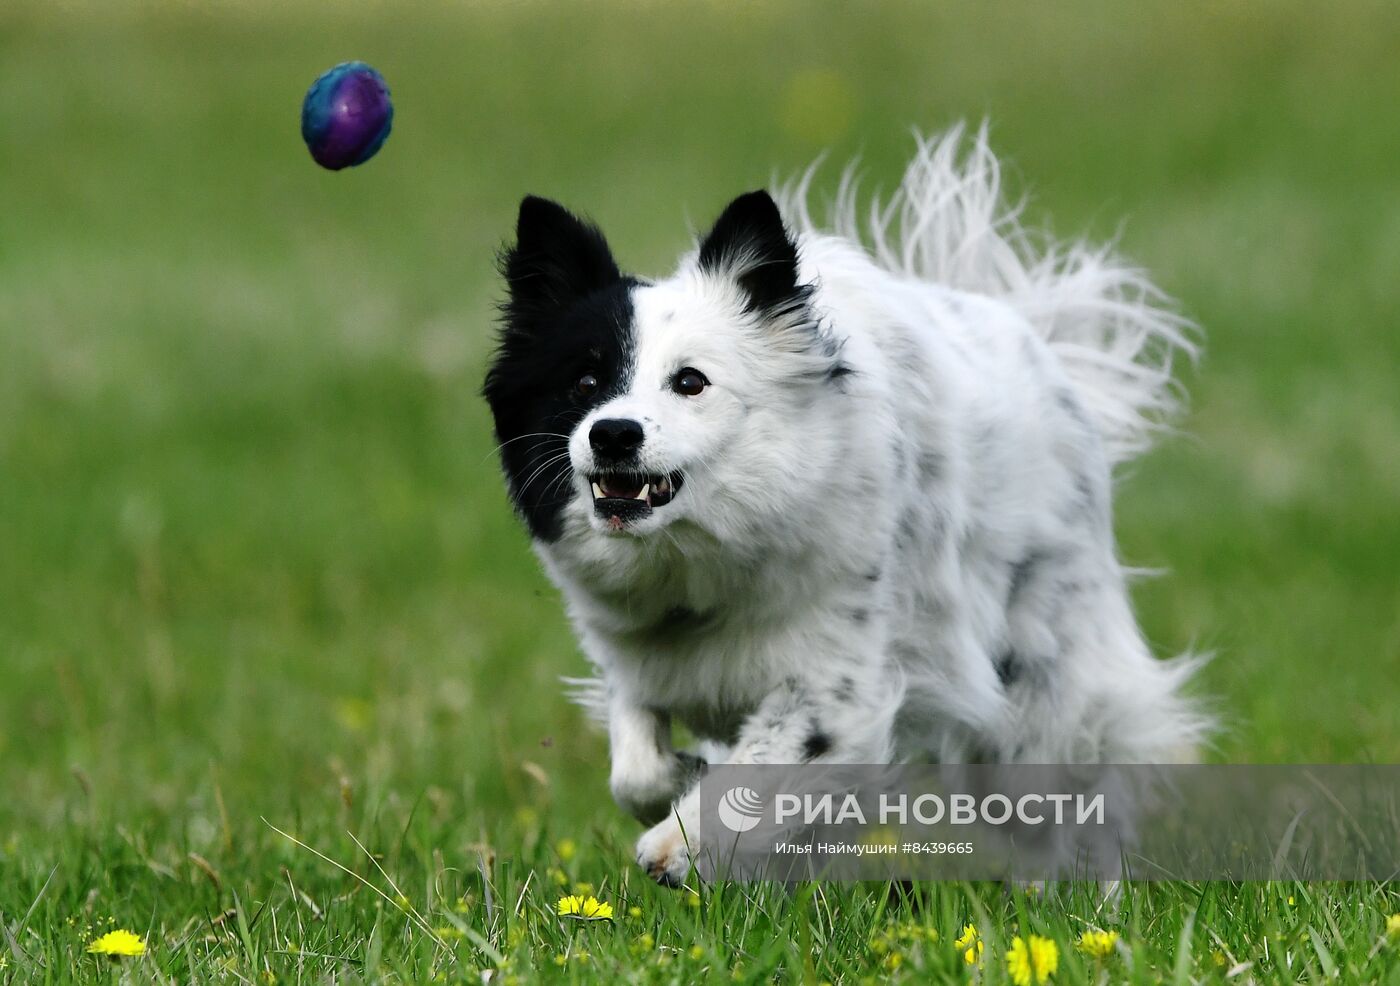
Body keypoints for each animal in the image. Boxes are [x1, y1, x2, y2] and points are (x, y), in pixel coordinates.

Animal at [481, 123, 1204, 885]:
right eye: (584, 381)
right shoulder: (636, 664)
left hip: (1039, 674)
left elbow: (764, 764)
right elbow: (636, 772)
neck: (703, 559)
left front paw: (679, 843)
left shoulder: (836, 680)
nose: (612, 433)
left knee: (1066, 783)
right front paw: (685, 775)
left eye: (690, 382)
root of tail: (1033, 337)